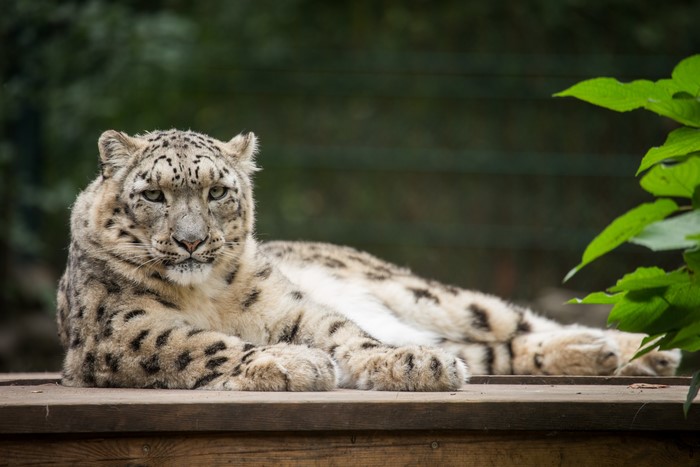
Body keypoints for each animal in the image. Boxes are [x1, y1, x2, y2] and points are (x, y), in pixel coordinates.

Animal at [55, 129, 681, 391]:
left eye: (216, 191)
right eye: (154, 195)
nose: (189, 242)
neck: (203, 290)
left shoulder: (289, 307)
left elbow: (343, 332)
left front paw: (411, 365)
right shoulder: (123, 331)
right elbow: (198, 342)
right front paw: (298, 365)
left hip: (426, 295)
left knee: (514, 322)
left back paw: (639, 349)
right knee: (500, 350)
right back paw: (603, 354)